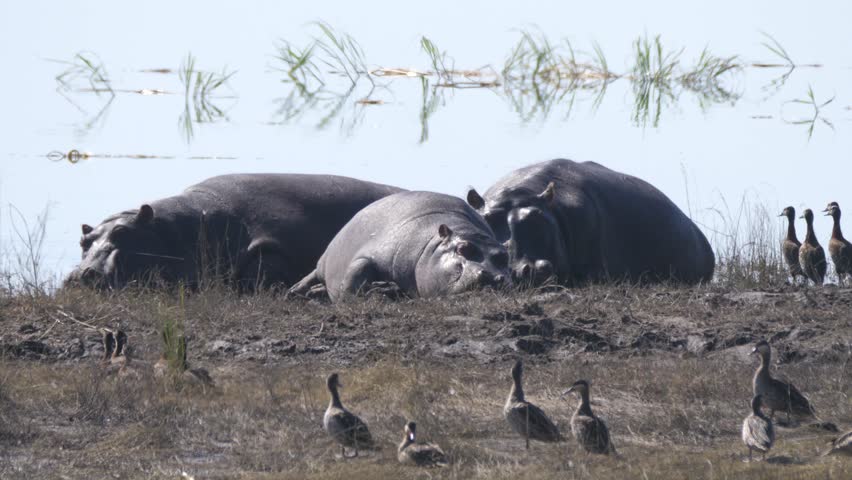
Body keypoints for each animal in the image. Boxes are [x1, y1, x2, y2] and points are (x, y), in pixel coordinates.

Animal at [289, 191, 511, 301]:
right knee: (314, 274)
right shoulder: (372, 253)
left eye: (504, 256)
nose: (494, 277)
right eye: (463, 248)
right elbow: (356, 272)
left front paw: (386, 289)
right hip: (323, 262)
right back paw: (295, 291)